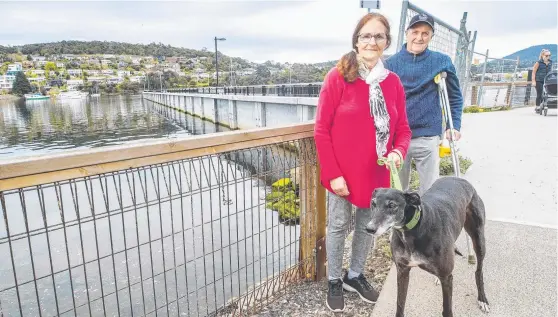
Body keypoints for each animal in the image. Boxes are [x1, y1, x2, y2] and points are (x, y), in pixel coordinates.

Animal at [368, 177, 490, 314]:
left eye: (392, 205)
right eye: (373, 203)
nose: (369, 229)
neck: (415, 228)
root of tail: (460, 179)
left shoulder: (446, 277)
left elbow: (447, 310)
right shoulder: (402, 271)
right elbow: (400, 304)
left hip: (478, 239)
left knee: (479, 271)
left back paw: (482, 299)